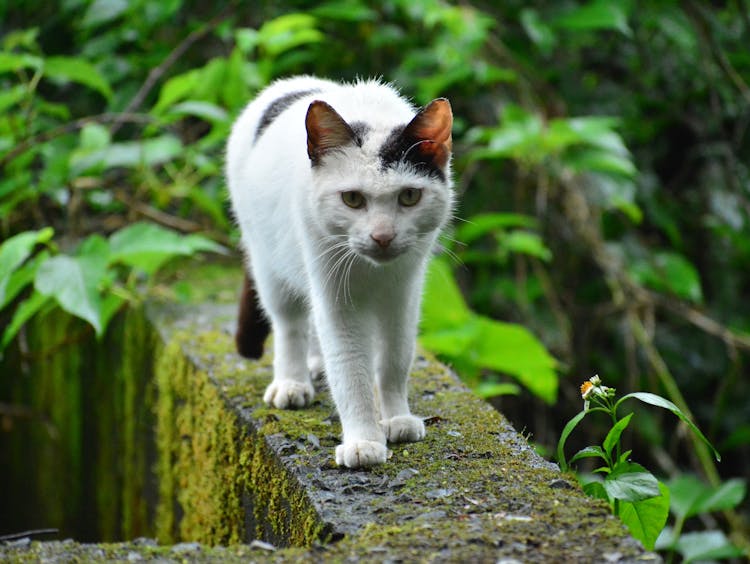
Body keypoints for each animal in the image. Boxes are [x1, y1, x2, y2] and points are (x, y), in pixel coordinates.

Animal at [226, 77, 456, 470]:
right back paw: (292, 382)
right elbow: (350, 369)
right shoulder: (336, 296)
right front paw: (364, 441)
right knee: (289, 324)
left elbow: (395, 359)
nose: (382, 236)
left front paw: (397, 417)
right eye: (352, 199)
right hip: (267, 260)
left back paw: (316, 364)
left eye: (410, 196)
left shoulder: (404, 293)